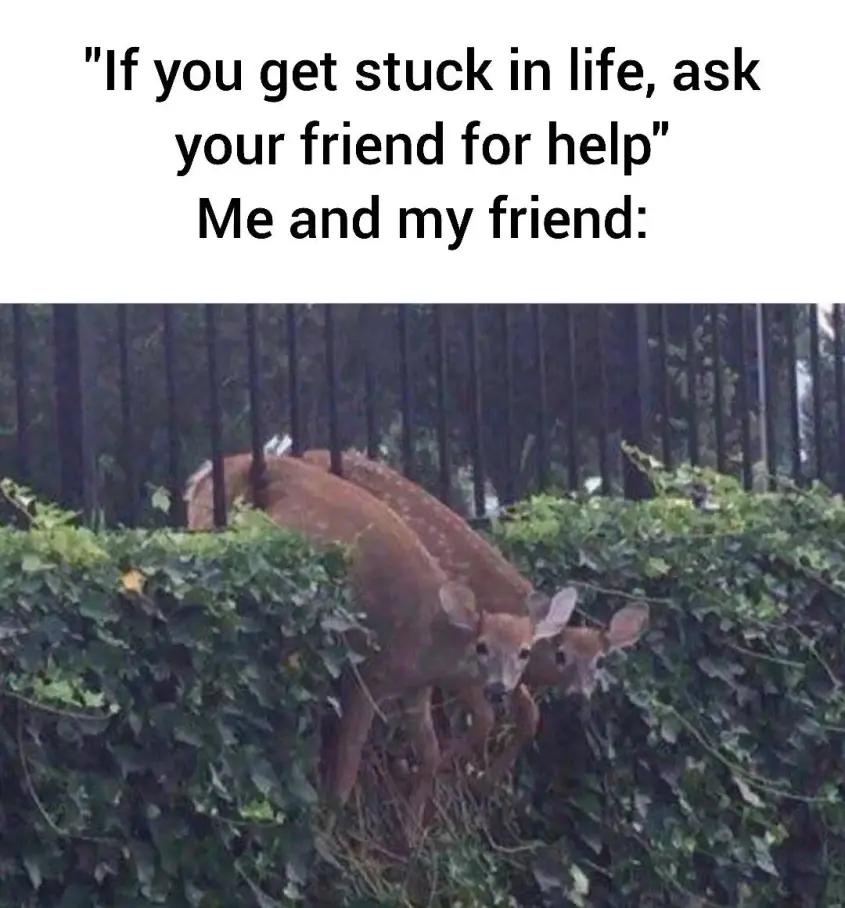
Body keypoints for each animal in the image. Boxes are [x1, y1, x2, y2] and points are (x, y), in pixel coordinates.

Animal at [182, 452, 558, 830]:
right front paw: (328, 832)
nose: (498, 688)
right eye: (483, 647)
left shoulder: (415, 692)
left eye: (525, 651)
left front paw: (412, 830)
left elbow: (431, 752)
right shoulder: (367, 679)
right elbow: (346, 771)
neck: (429, 644)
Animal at [300, 448, 649, 786]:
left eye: (600, 660)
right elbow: (486, 716)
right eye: (562, 655)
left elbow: (529, 714)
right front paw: (456, 771)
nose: (580, 695)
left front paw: (487, 776)